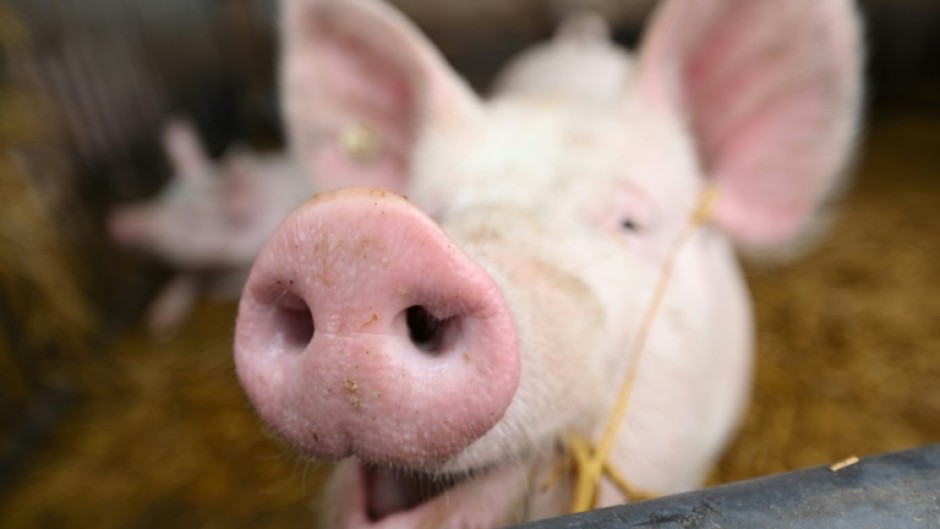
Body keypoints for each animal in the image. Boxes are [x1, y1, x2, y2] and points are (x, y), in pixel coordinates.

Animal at [109, 119, 313, 335]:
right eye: (163, 197)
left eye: (191, 219)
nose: (115, 219)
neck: (226, 268)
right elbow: (188, 274)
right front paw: (158, 324)